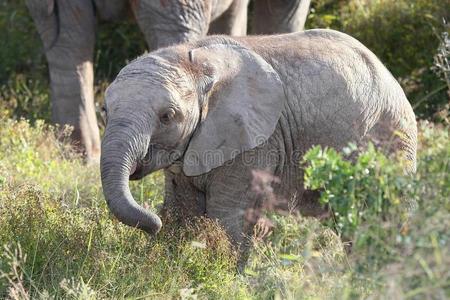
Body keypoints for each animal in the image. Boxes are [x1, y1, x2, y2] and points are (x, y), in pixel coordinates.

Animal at [100, 30, 416, 251]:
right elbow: (183, 210)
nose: (154, 222)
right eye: (105, 110)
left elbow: (227, 216)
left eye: (167, 116)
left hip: (392, 140)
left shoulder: (257, 142)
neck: (194, 60)